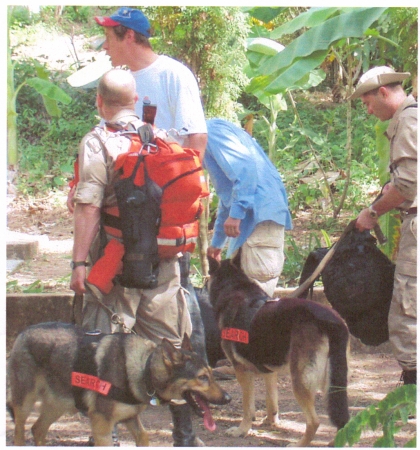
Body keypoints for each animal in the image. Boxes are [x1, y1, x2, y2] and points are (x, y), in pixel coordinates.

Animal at [6, 322, 231, 444]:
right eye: (202, 377)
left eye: (211, 374)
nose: (228, 398)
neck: (144, 368)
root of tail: (23, 332)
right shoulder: (102, 426)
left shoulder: (131, 419)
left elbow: (145, 437)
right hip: (25, 405)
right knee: (20, 433)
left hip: (58, 406)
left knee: (37, 429)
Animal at [208, 253, 350, 446]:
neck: (234, 286)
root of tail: (331, 322)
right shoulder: (268, 371)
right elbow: (271, 400)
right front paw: (271, 422)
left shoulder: (242, 371)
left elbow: (248, 407)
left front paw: (241, 430)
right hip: (333, 383)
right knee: (342, 417)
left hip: (300, 380)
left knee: (314, 421)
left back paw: (299, 444)